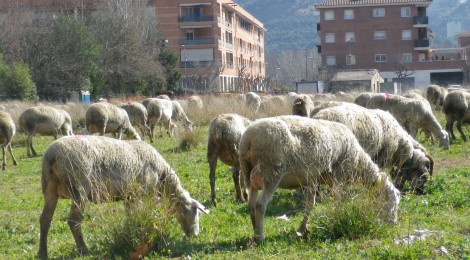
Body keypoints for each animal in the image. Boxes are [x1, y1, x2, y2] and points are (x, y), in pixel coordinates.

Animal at [37, 135, 210, 258]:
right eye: (195, 213)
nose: (194, 235)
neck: (162, 177)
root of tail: (52, 154)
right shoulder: (144, 193)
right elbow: (142, 215)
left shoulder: (129, 196)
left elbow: (130, 216)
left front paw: (132, 232)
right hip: (80, 186)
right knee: (74, 220)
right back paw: (83, 250)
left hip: (49, 187)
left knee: (45, 219)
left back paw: (42, 253)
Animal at [239, 116, 400, 244]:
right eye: (390, 202)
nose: (392, 225)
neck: (358, 163)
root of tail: (249, 137)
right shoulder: (338, 176)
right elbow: (339, 201)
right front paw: (338, 215)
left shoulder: (313, 180)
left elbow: (310, 205)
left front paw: (302, 230)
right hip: (271, 171)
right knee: (260, 205)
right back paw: (260, 238)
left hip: (249, 174)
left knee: (251, 204)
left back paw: (254, 232)